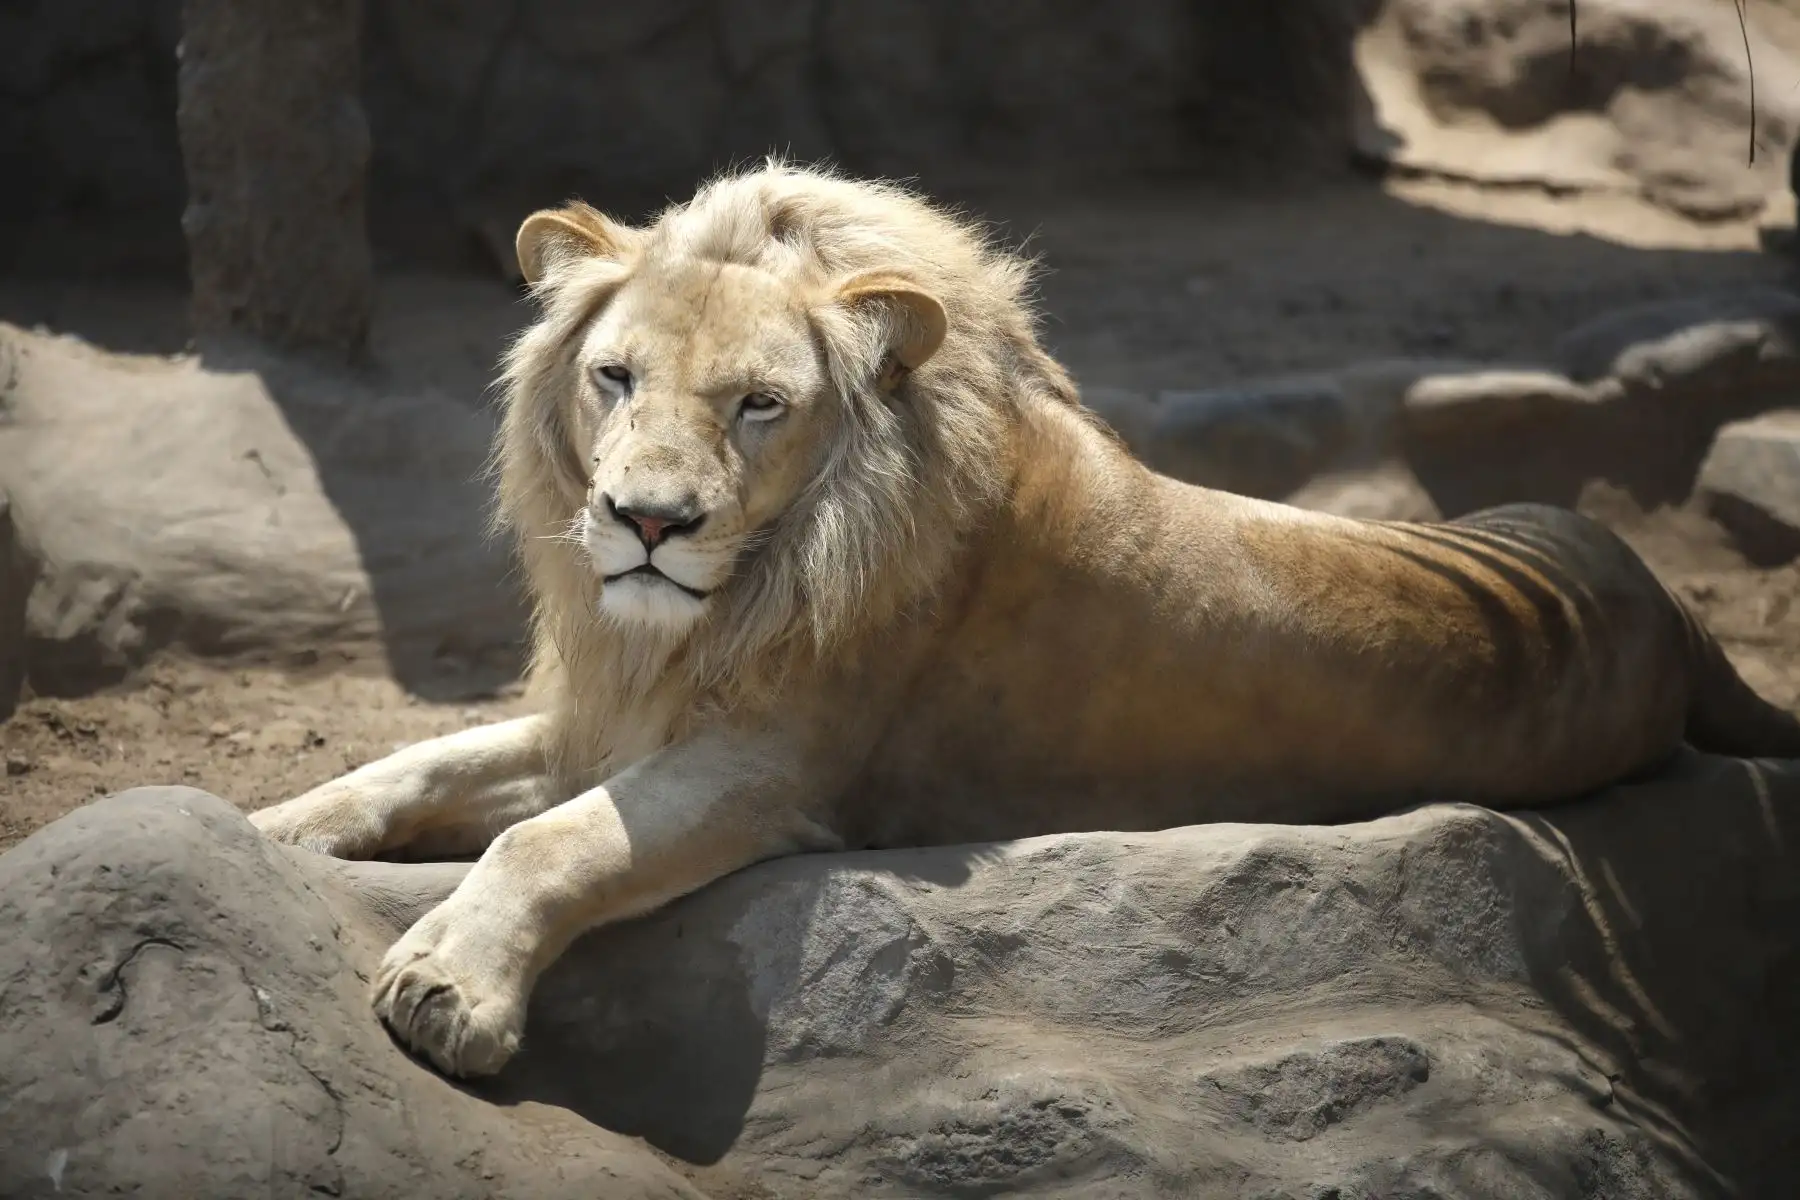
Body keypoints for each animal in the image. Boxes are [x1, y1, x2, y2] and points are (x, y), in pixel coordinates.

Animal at [250, 162, 1800, 1080]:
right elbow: (412, 765)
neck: (703, 615)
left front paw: (448, 987)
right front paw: (267, 829)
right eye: (616, 378)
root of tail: (1651, 591)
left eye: (759, 405)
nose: (645, 522)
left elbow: (549, 837)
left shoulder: (772, 766)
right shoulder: (614, 715)